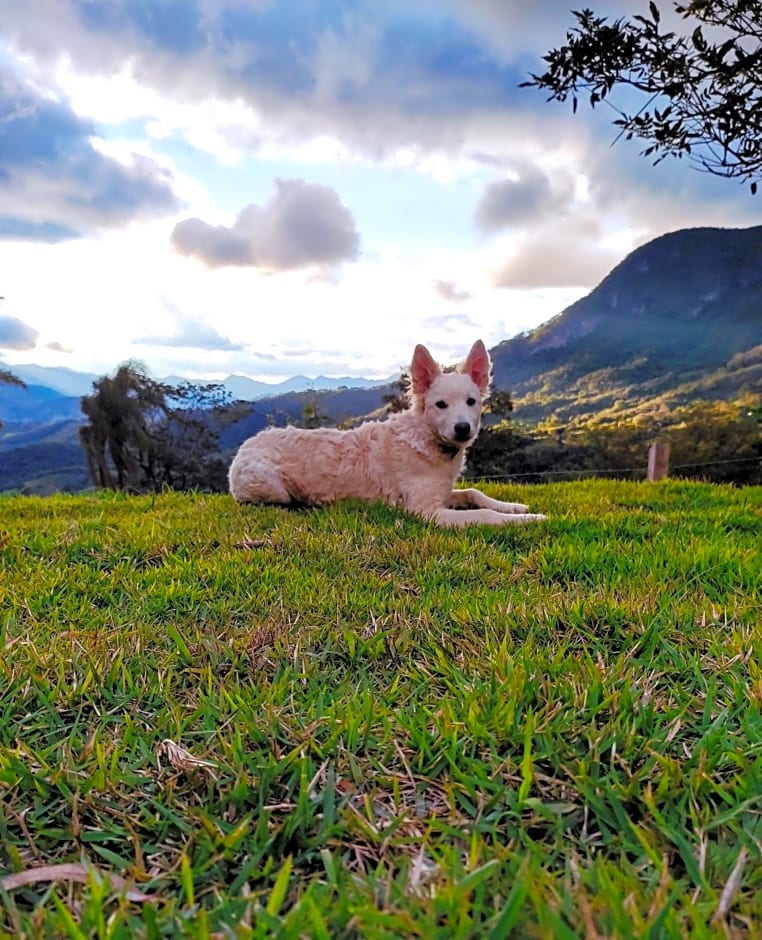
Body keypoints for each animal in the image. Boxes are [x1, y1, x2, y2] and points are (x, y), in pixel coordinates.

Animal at [229, 340, 544, 528]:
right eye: (440, 404)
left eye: (471, 401)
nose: (462, 428)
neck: (427, 440)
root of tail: (247, 444)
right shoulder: (425, 510)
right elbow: (483, 514)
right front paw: (532, 518)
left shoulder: (443, 494)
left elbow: (474, 493)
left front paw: (514, 506)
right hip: (271, 484)